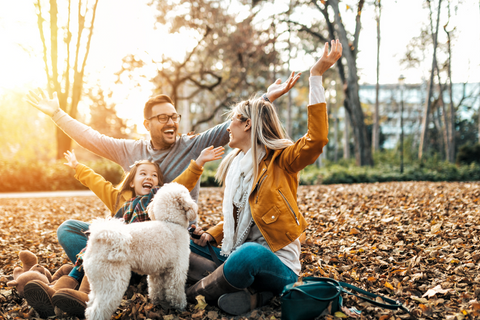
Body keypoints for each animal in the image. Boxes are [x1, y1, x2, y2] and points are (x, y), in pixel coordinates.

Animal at [82, 182, 197, 320]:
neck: (170, 222)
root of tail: (98, 238)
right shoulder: (177, 270)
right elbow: (176, 291)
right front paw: (180, 306)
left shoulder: (157, 272)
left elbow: (156, 288)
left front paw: (158, 302)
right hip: (112, 282)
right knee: (97, 311)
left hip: (97, 281)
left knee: (90, 306)